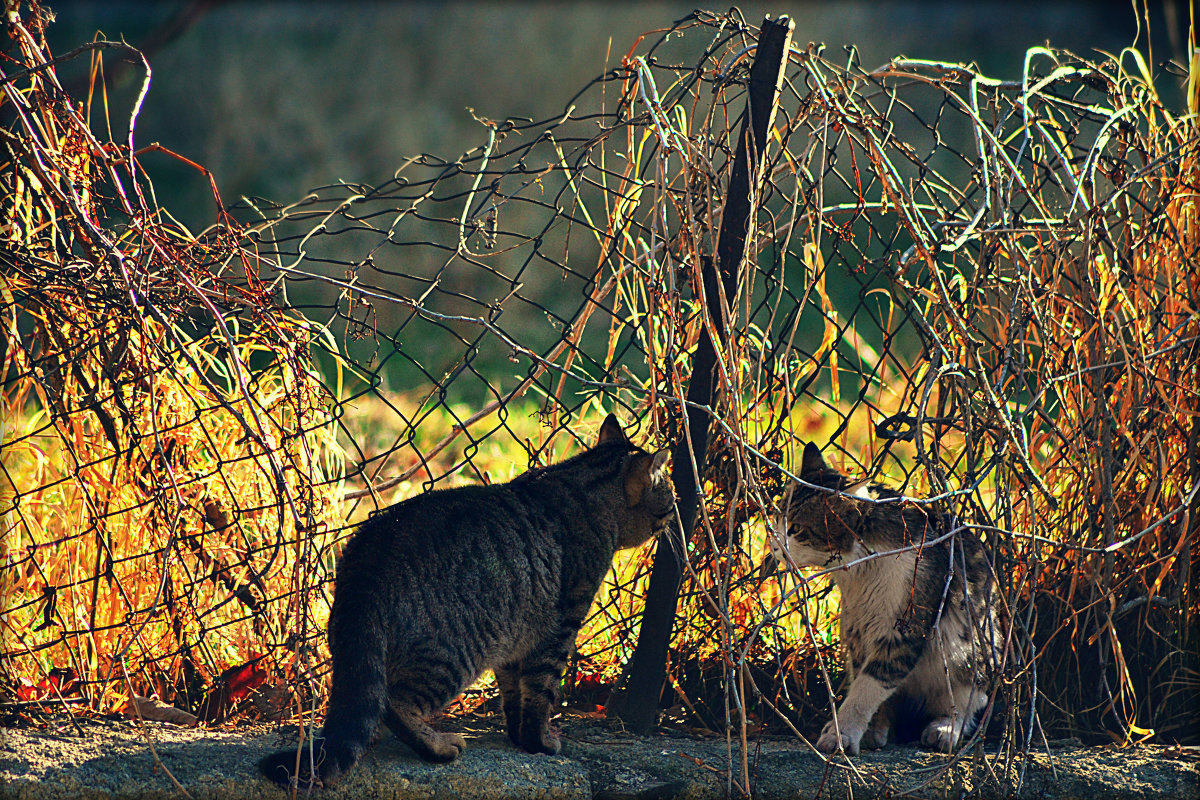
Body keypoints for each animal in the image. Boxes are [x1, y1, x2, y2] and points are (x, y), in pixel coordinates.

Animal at [260, 419, 676, 786]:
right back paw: (438, 746)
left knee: (368, 700)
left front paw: (517, 735)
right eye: (670, 498)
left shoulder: (516, 636)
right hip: (452, 656)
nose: (675, 513)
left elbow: (514, 692)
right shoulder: (560, 628)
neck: (581, 485)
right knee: (395, 704)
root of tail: (368, 558)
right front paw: (539, 742)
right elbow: (540, 694)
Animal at [772, 443, 998, 758]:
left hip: (969, 653)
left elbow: (868, 687)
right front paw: (865, 729)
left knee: (967, 703)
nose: (773, 544)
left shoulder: (903, 629)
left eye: (796, 529)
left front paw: (842, 734)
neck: (859, 573)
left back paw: (944, 729)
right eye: (777, 517)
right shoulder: (859, 628)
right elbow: (864, 683)